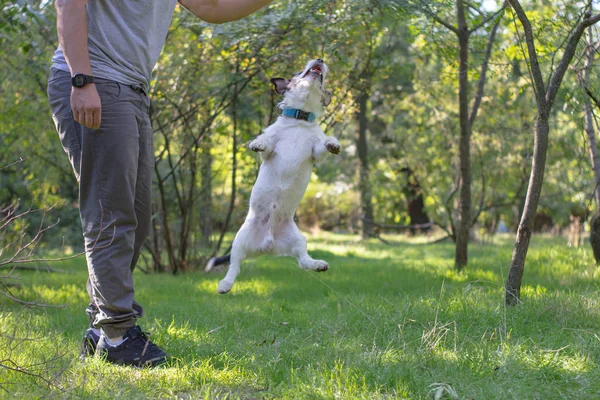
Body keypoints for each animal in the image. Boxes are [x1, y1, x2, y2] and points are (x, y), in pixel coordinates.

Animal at [204, 57, 340, 294]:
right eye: (299, 72)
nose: (320, 59)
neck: (300, 121)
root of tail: (267, 246)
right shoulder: (270, 150)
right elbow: (267, 143)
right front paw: (258, 142)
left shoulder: (315, 153)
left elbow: (322, 146)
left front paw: (333, 143)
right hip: (239, 241)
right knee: (234, 266)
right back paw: (225, 284)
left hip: (298, 239)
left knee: (303, 261)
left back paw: (318, 264)